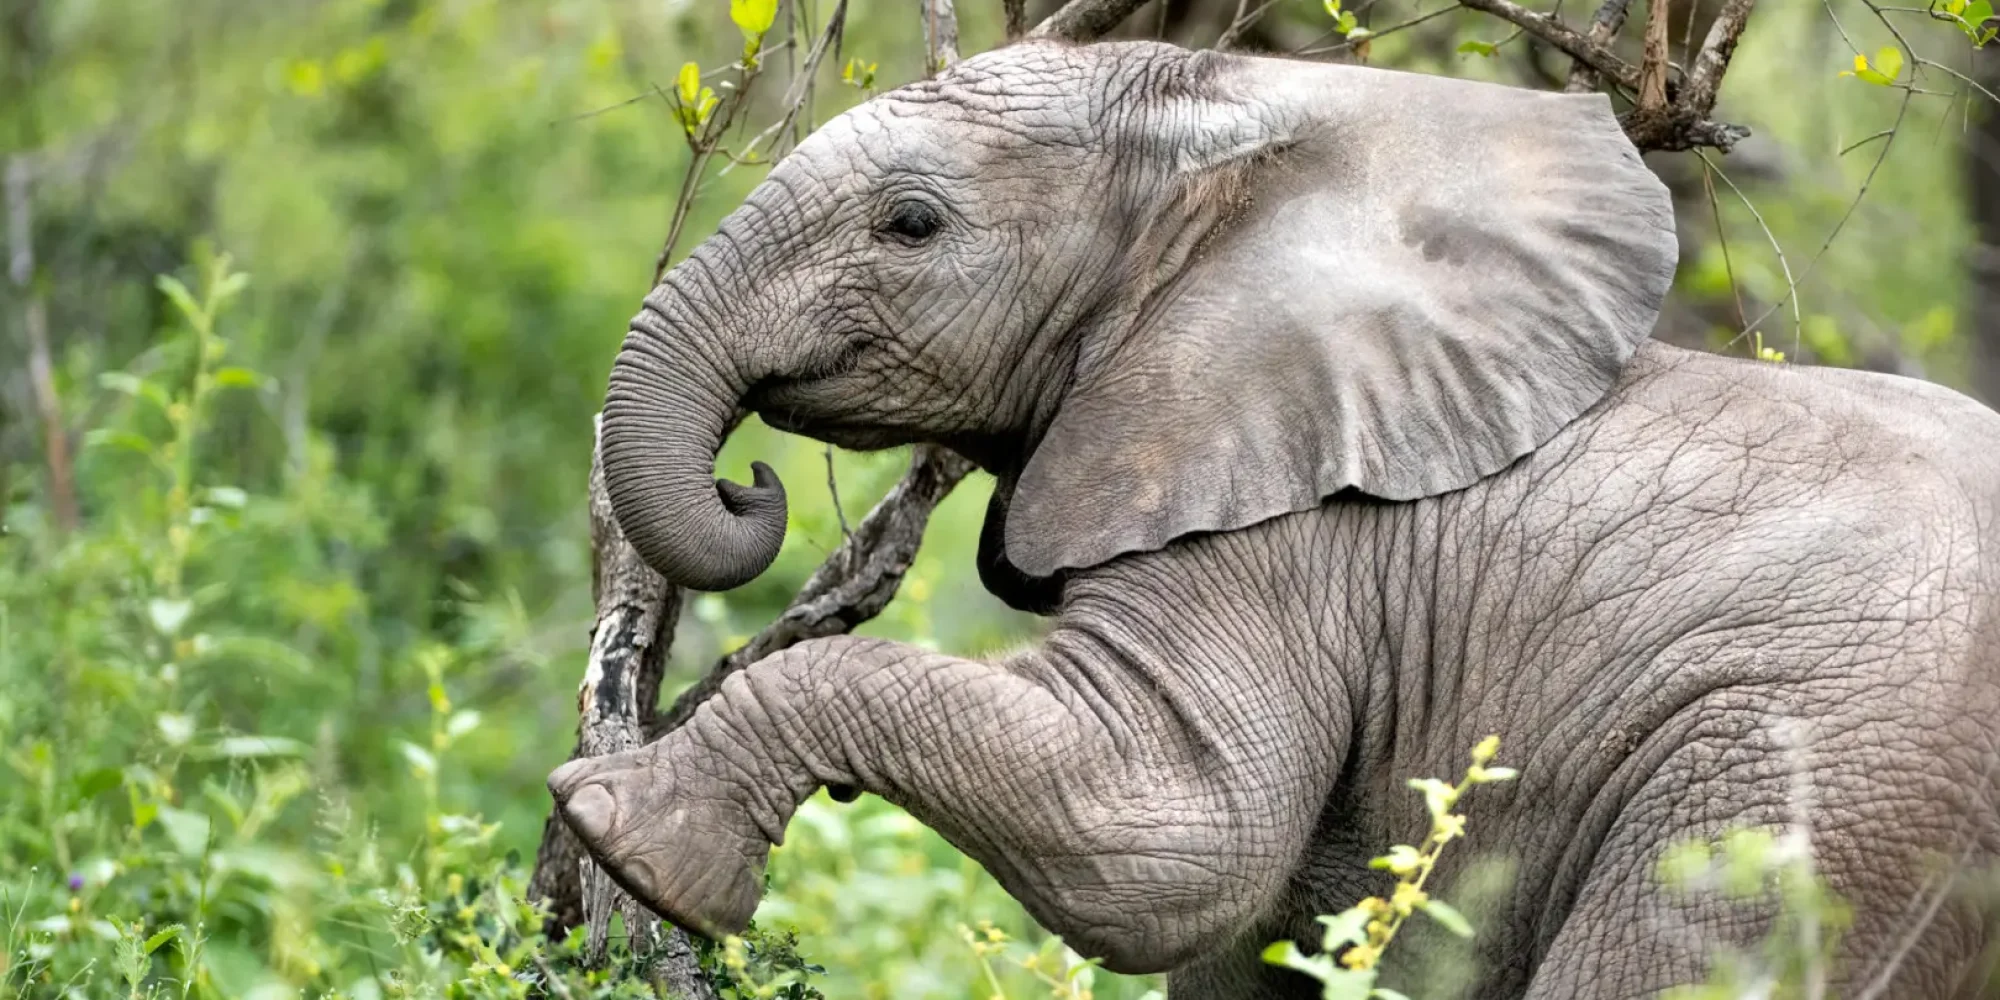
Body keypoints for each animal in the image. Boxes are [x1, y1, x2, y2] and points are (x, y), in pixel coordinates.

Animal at [548, 38, 2000, 998]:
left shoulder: (1287, 534)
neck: (1256, 118)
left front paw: (627, 833)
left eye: (911, 224)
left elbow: (1175, 841)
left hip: (1805, 786)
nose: (750, 482)